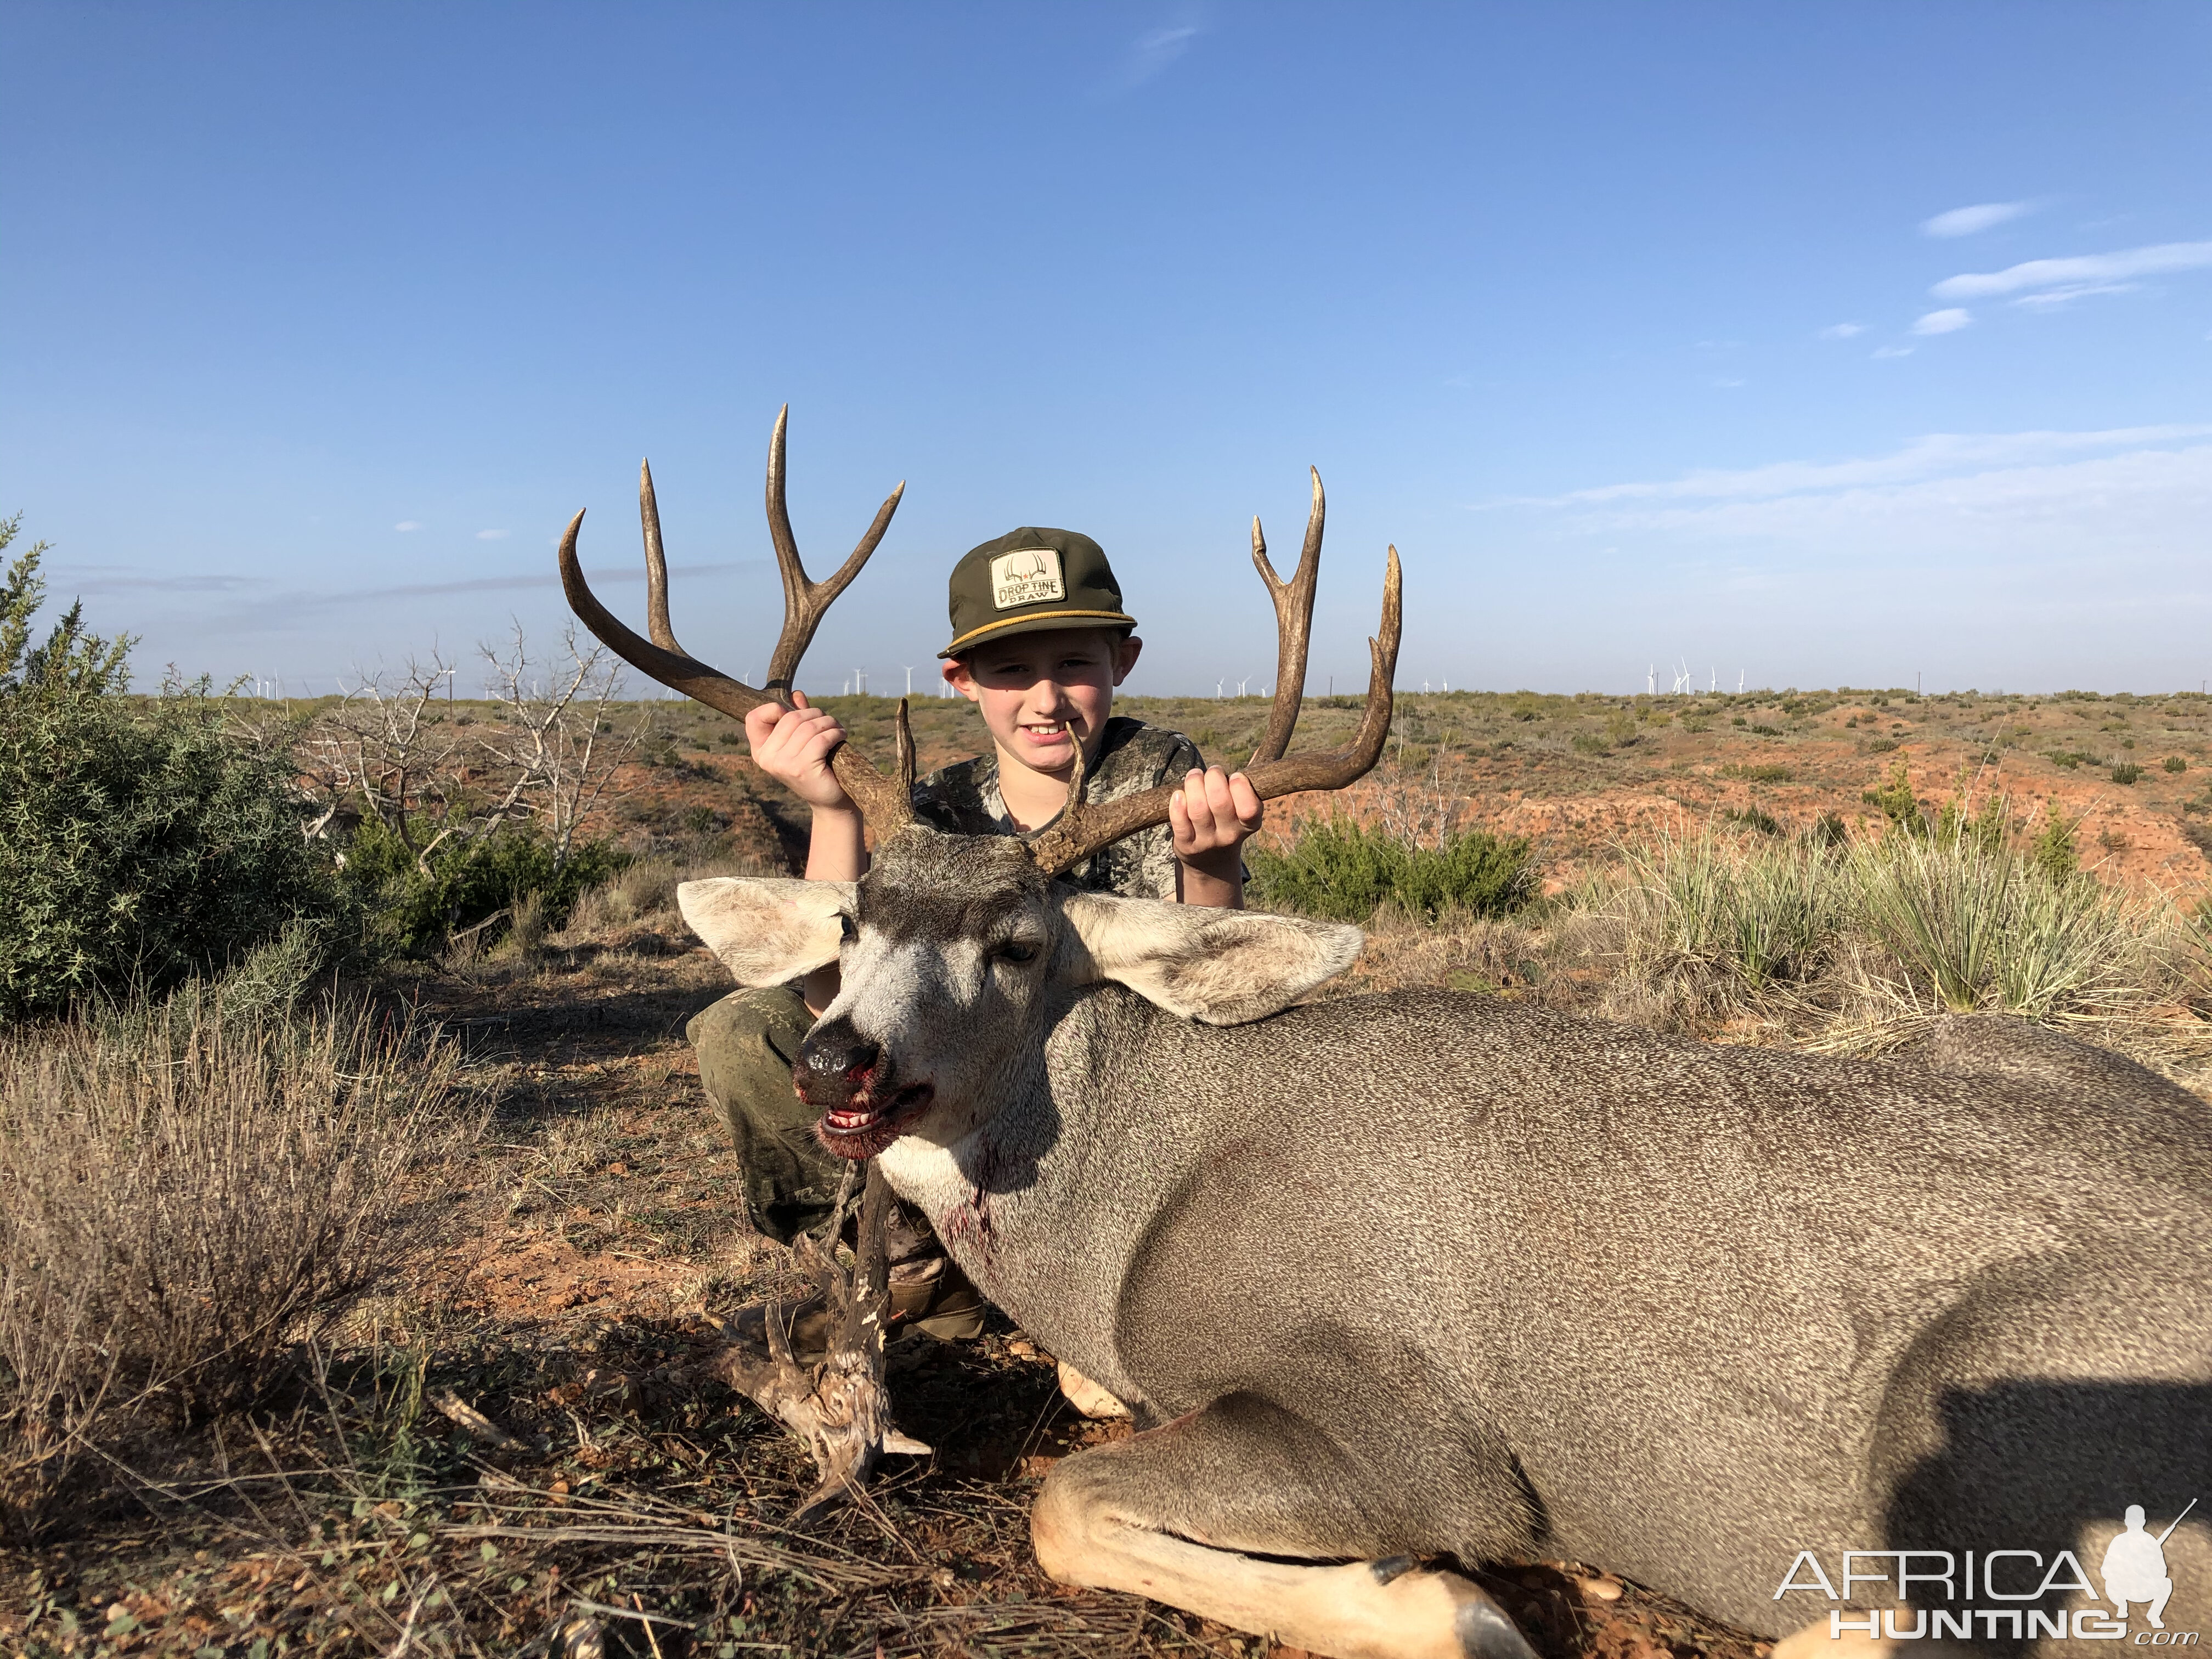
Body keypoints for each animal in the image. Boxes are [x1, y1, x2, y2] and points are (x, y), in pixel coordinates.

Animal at [566, 416, 2212, 1659]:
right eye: (848, 927)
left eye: (1021, 944)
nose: (836, 1062)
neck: (1133, 1198)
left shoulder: (1409, 1430)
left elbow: (1071, 1506)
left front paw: (1449, 1606)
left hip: (1996, 1419)